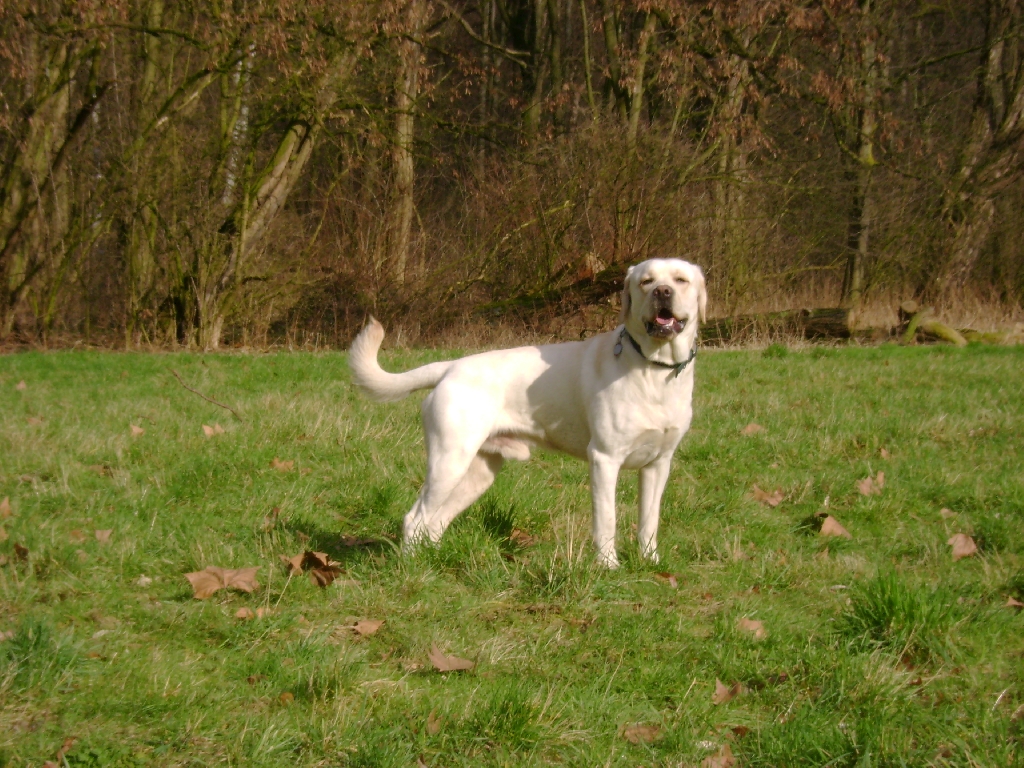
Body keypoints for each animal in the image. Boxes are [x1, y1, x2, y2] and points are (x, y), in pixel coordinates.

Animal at [348, 262, 708, 569]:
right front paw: (608, 567)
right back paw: (413, 568)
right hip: (449, 462)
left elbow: (649, 520)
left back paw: (436, 562)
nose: (662, 292)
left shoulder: (658, 463)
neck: (653, 368)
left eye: (681, 280)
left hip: (477, 473)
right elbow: (607, 520)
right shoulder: (605, 459)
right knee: (415, 518)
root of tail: (451, 366)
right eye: (646, 281)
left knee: (434, 522)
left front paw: (650, 563)